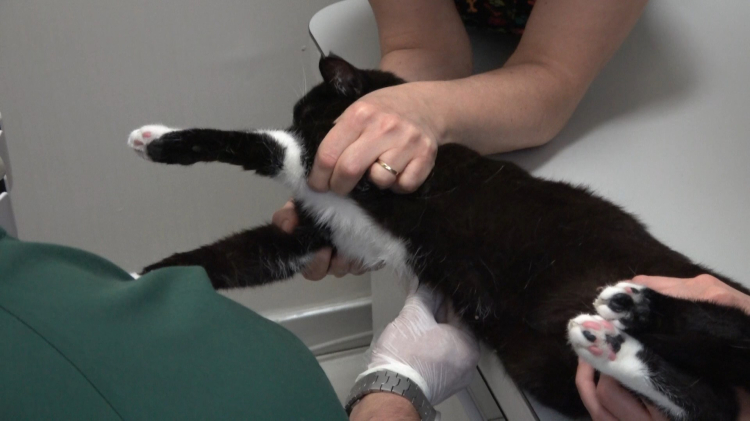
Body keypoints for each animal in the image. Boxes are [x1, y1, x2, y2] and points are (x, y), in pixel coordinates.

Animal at [128, 55, 750, 420]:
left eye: (310, 113)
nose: (301, 120)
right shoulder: (316, 235)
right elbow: (231, 256)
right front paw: (136, 281)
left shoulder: (377, 182)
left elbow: (270, 149)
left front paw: (160, 140)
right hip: (542, 363)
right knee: (712, 405)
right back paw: (615, 343)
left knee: (727, 343)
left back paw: (633, 309)